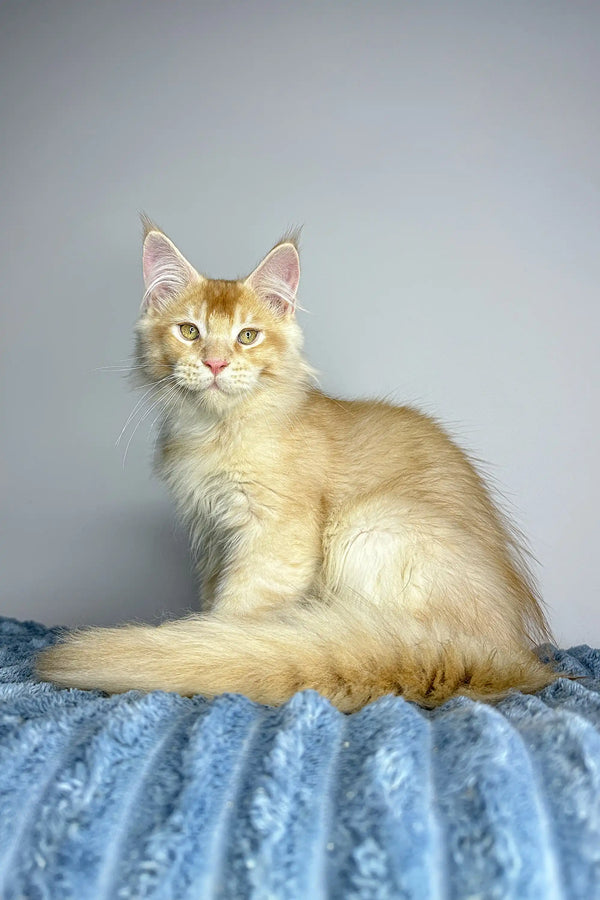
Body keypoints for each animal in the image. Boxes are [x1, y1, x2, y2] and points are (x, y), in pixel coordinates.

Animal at [35, 223, 556, 712]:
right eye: (189, 331)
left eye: (248, 336)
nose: (216, 364)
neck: (217, 432)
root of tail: (507, 656)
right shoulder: (213, 537)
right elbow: (214, 600)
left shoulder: (275, 537)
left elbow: (236, 615)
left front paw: (214, 652)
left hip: (366, 526)